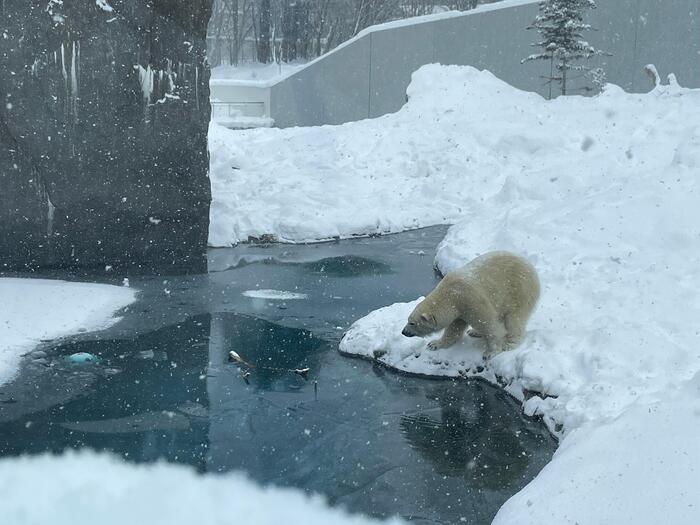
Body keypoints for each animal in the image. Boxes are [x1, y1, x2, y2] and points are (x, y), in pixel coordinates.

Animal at [402, 250, 540, 356]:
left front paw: (490, 352)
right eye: (408, 320)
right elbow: (454, 329)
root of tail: (530, 266)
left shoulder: (471, 301)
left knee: (514, 319)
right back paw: (474, 332)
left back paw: (510, 343)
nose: (404, 332)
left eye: (412, 323)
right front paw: (434, 344)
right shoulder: (459, 311)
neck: (451, 295)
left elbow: (490, 324)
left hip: (519, 291)